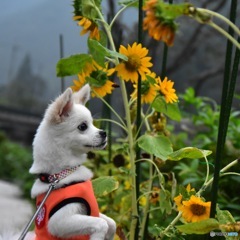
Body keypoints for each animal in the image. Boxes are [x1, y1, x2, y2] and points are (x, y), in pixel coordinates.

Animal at [11, 84, 117, 240]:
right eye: (83, 126)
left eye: (93, 124)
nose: (104, 133)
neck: (60, 175)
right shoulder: (58, 222)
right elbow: (101, 223)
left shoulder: (92, 213)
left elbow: (110, 222)